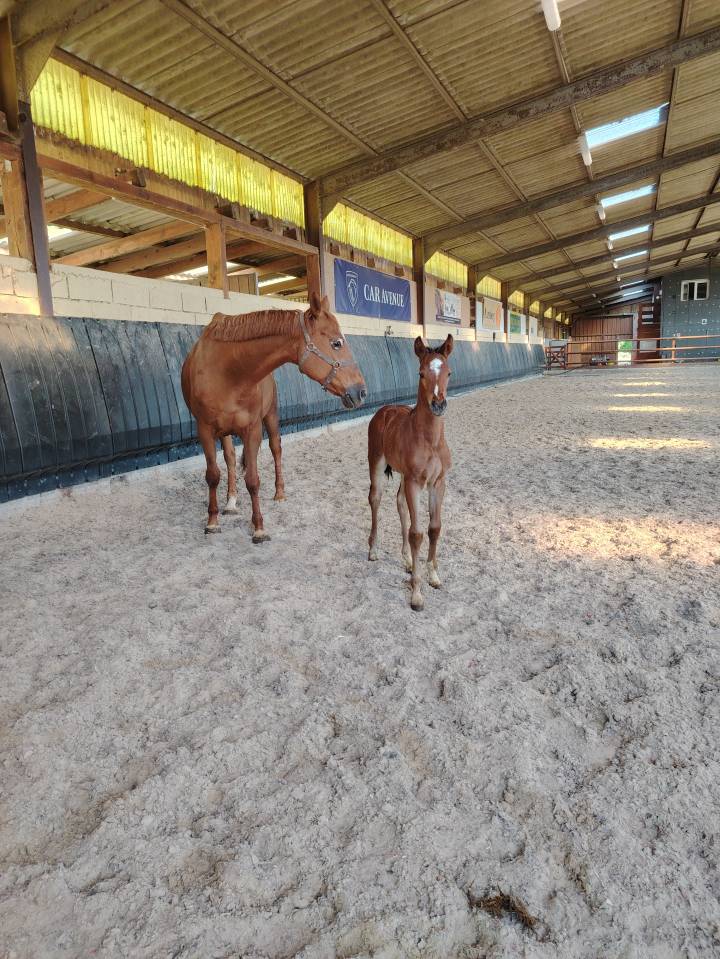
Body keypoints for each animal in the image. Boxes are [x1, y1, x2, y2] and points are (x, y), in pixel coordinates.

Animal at [181, 292, 366, 540]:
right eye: (336, 343)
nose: (361, 392)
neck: (229, 372)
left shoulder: (252, 429)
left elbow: (253, 480)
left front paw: (259, 527)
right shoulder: (205, 429)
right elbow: (213, 475)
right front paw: (212, 521)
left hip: (270, 417)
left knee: (276, 450)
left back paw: (279, 493)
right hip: (225, 432)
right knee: (230, 459)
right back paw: (230, 502)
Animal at [367, 334, 453, 611]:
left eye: (448, 372)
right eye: (421, 373)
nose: (438, 404)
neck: (430, 440)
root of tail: (385, 410)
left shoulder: (438, 483)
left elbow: (434, 528)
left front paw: (433, 575)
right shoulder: (416, 482)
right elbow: (417, 534)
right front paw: (416, 594)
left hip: (404, 476)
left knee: (400, 504)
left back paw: (406, 561)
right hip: (376, 462)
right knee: (376, 498)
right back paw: (373, 550)